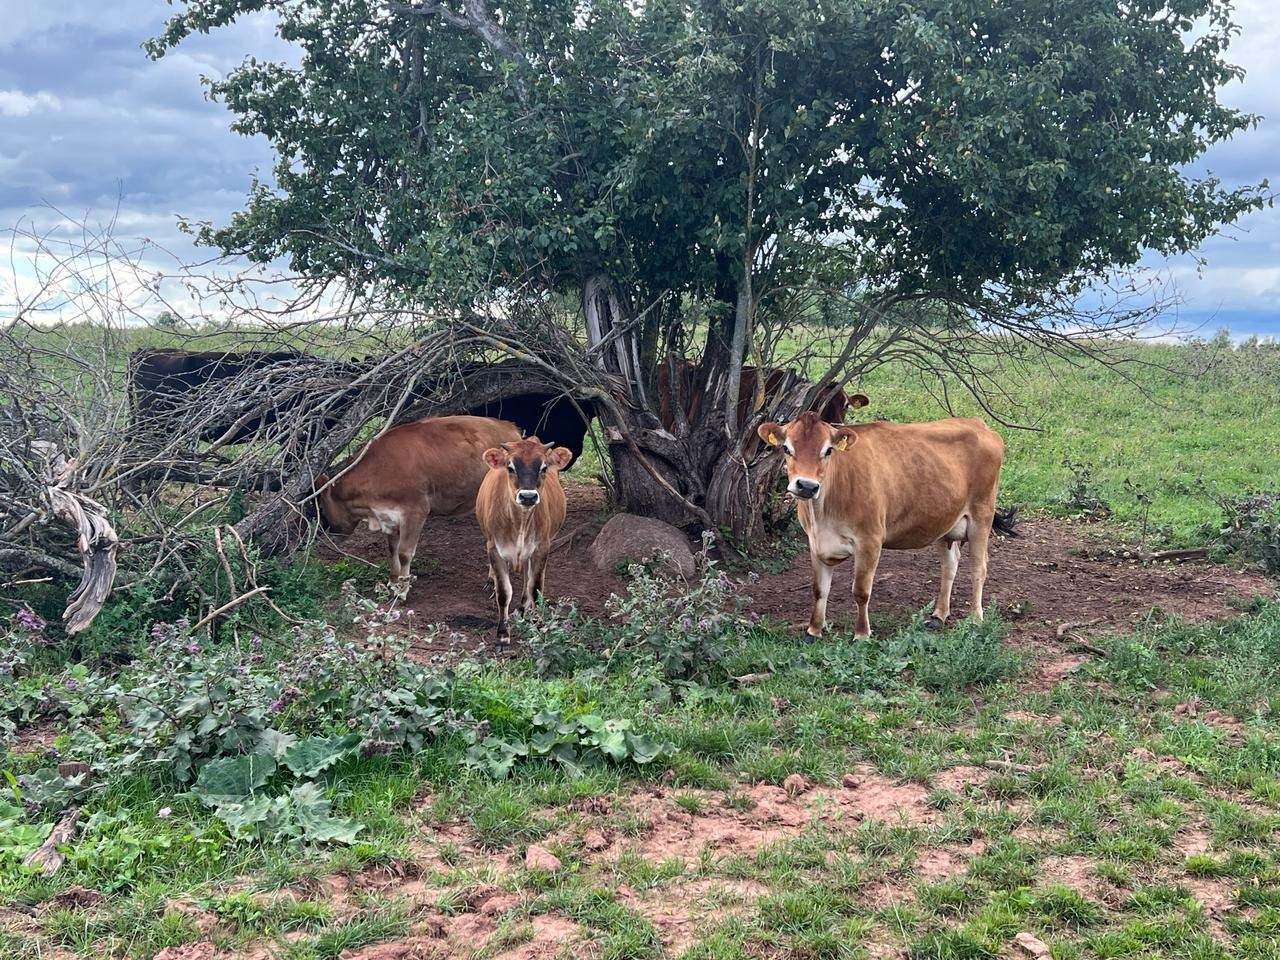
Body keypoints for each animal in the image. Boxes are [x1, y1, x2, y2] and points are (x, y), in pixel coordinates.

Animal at [473, 440, 573, 642]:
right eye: (510, 467)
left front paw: (538, 624)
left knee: (529, 577)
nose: (528, 496)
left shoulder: (542, 548)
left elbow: (534, 588)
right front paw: (502, 634)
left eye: (544, 467)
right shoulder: (494, 549)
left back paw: (523, 608)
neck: (521, 522)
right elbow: (504, 592)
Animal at [752, 412, 1013, 640]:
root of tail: (978, 423)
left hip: (981, 515)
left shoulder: (870, 541)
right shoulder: (815, 542)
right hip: (944, 521)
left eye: (828, 450)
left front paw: (861, 634)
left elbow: (861, 591)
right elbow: (819, 589)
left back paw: (975, 618)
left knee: (978, 568)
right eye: (786, 448)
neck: (823, 512)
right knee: (950, 565)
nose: (806, 485)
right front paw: (813, 631)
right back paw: (939, 615)